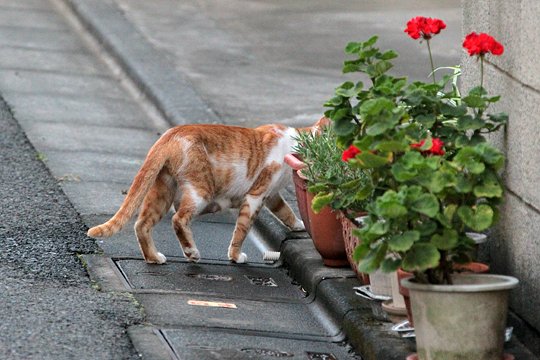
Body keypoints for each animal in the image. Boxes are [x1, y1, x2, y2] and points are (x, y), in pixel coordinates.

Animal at [88, 118, 326, 264]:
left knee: (142, 224)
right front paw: (235, 256)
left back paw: (153, 257)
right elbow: (242, 229)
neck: (294, 144)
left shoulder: (272, 195)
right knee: (179, 219)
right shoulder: (256, 196)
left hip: (164, 190)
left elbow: (286, 211)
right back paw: (191, 252)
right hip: (201, 192)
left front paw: (299, 225)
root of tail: (170, 134)